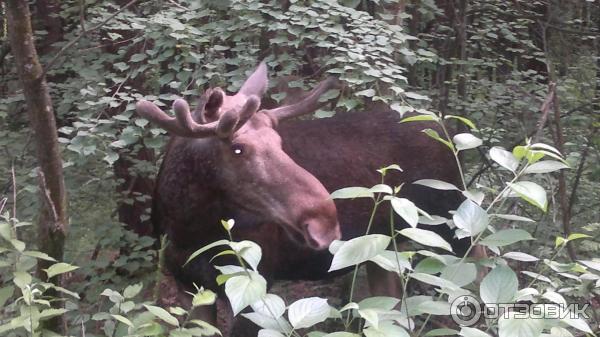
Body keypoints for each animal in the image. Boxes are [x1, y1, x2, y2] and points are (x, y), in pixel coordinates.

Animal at [135, 62, 468, 334]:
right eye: (238, 148)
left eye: (279, 142)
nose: (325, 221)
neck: (188, 228)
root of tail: (445, 128)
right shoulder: (189, 287)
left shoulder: (257, 281)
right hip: (381, 248)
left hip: (453, 222)